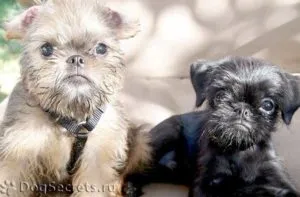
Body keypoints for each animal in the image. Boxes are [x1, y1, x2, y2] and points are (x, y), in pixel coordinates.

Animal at [123, 56, 300, 197]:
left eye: (268, 105)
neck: (238, 151)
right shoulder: (205, 184)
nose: (242, 109)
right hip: (166, 135)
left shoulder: (278, 180)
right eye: (220, 96)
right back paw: (130, 187)